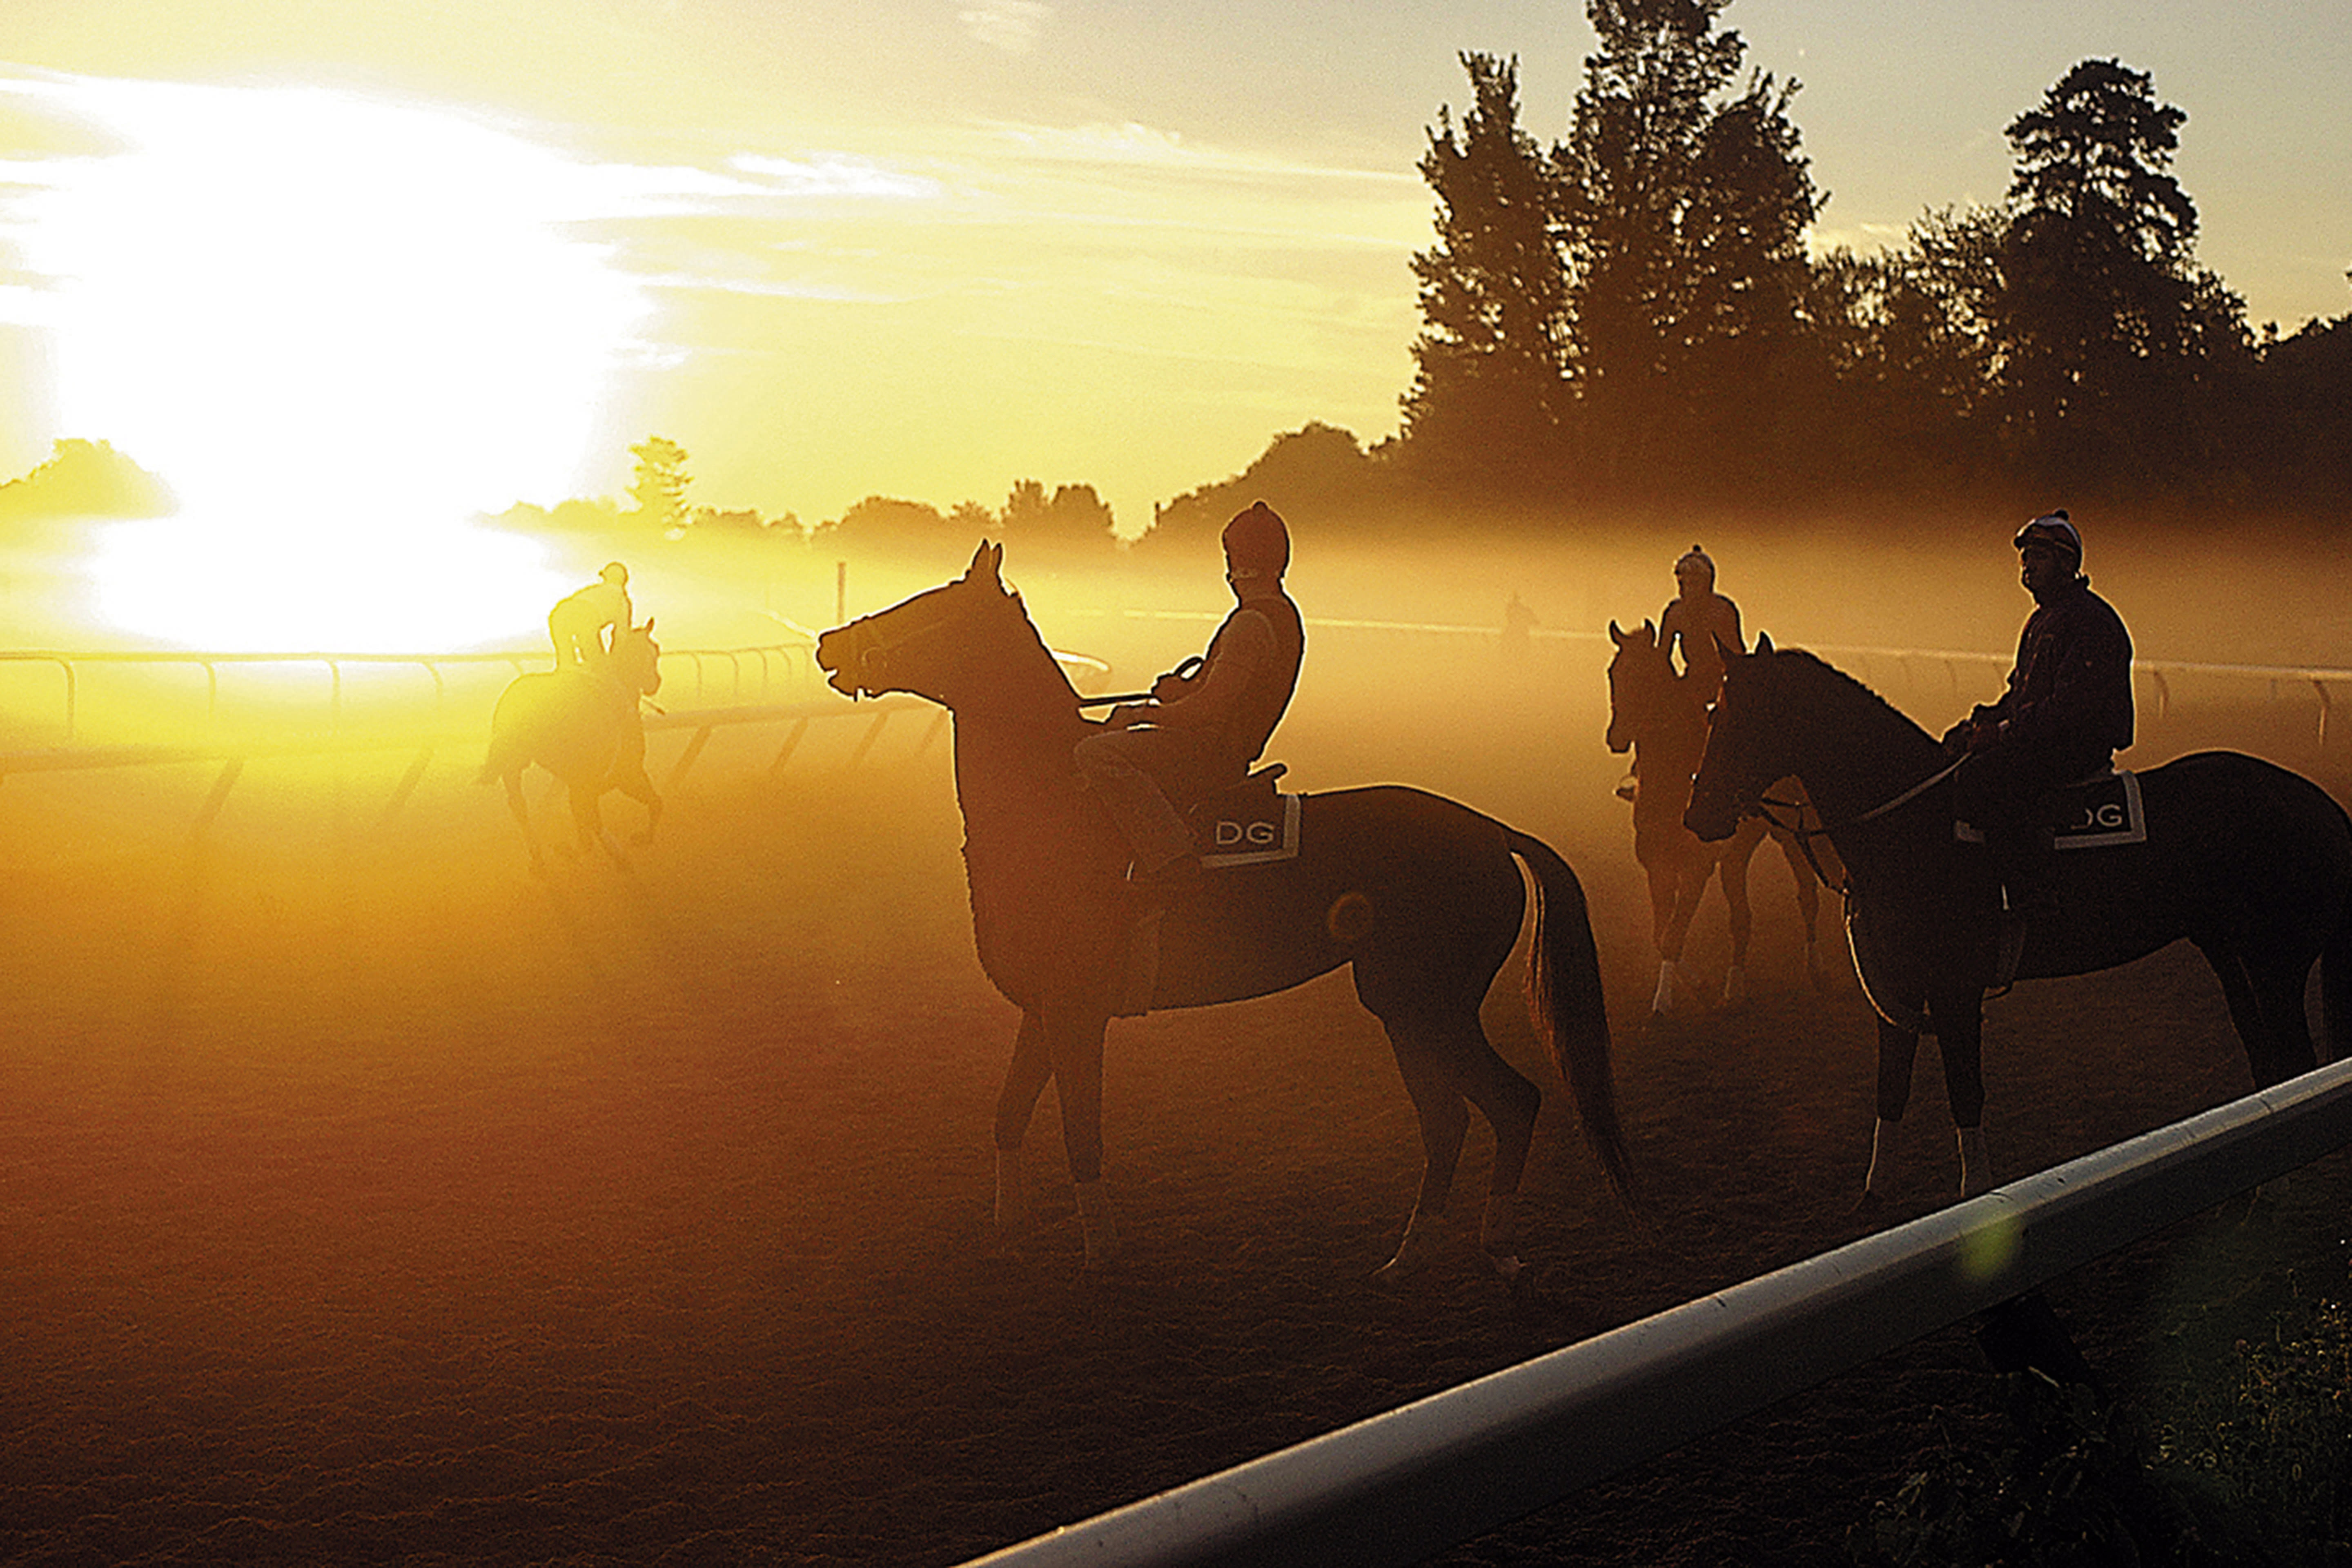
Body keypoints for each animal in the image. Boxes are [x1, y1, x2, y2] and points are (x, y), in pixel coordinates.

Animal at [477, 620, 663, 879]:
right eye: (653, 650)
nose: (656, 682)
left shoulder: (581, 784)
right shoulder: (624, 775)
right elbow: (652, 804)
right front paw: (639, 841)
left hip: (513, 766)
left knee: (520, 808)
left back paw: (539, 860)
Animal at [813, 545, 1637, 1278]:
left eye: (926, 607)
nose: (829, 643)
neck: (1055, 810)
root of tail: (1493, 831)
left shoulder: (1078, 1014)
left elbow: (1083, 1132)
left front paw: (1101, 1251)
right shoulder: (1040, 1010)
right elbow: (1009, 1113)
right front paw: (1010, 1235)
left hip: (1422, 1003)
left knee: (1508, 1103)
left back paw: (1490, 1247)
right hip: (1408, 1009)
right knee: (1453, 1120)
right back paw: (1409, 1257)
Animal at [1599, 620, 1834, 1011]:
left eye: (1647, 675)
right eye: (1613, 673)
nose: (1616, 738)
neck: (1673, 775)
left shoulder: (1697, 865)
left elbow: (1673, 933)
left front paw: (1665, 999)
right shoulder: (1657, 863)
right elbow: (1661, 933)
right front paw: (1698, 984)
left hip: (1791, 836)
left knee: (1808, 897)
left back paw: (1818, 972)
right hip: (1737, 853)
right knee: (1741, 916)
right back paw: (1734, 987)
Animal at [1693, 639, 2352, 1203]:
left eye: (1736, 718)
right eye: (1712, 713)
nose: (1697, 811)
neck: (1917, 824)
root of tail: (2324, 805)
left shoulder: (1955, 992)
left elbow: (1965, 1090)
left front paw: (1975, 1194)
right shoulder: (1897, 989)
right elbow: (1891, 1088)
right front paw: (1874, 1200)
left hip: (2277, 962)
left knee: (2295, 1062)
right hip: (2227, 951)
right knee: (2265, 1058)